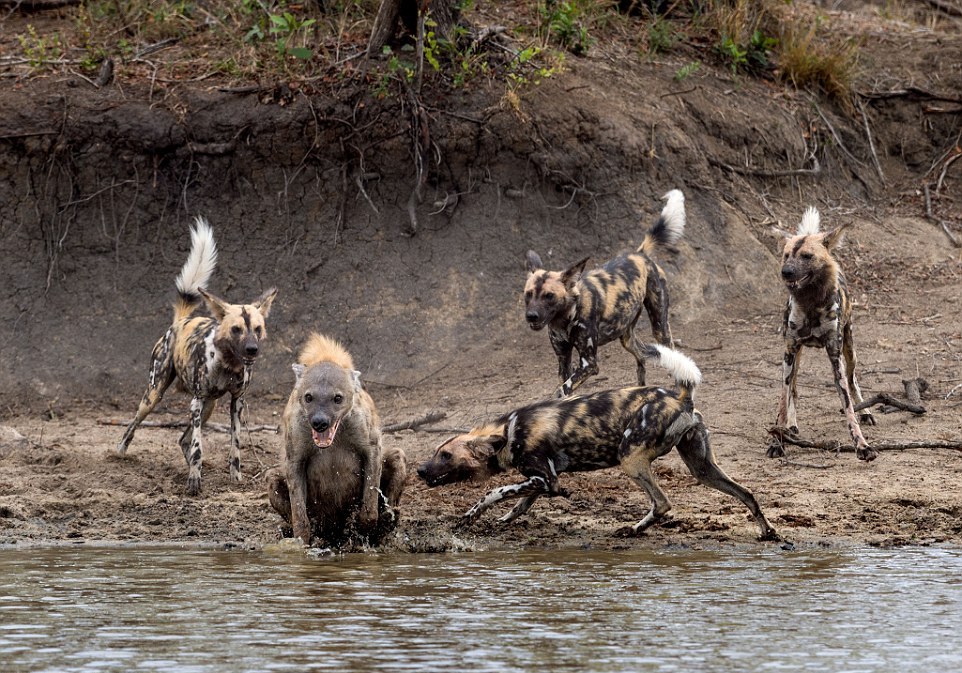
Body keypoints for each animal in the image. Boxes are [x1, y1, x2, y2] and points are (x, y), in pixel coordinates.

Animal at [115, 219, 278, 494]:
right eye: (236, 329)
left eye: (257, 329)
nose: (252, 350)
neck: (228, 364)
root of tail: (180, 322)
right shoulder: (197, 402)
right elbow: (199, 446)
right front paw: (194, 482)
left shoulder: (236, 403)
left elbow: (234, 445)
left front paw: (235, 478)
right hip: (155, 396)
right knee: (133, 426)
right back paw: (118, 455)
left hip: (209, 404)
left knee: (183, 440)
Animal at [264, 332, 406, 544]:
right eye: (308, 397)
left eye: (337, 398)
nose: (320, 422)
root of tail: (335, 530)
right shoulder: (294, 454)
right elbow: (298, 511)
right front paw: (301, 541)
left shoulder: (371, 445)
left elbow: (370, 497)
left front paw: (366, 531)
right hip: (275, 478)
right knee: (274, 479)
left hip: (396, 456)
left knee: (397, 457)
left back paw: (388, 520)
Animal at [416, 344, 776, 540]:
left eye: (445, 455)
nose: (419, 470)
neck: (509, 432)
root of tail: (680, 396)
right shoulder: (544, 481)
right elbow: (520, 504)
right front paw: (504, 520)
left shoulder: (543, 479)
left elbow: (493, 493)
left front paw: (471, 516)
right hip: (702, 468)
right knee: (747, 494)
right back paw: (769, 532)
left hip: (630, 458)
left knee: (662, 503)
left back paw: (632, 530)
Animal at [520, 189, 688, 396]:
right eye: (528, 294)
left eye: (549, 296)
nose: (531, 316)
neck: (566, 316)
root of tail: (640, 254)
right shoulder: (563, 359)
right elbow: (564, 389)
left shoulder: (589, 364)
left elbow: (561, 391)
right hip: (626, 337)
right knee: (642, 356)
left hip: (660, 327)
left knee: (671, 352)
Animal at [768, 207, 872, 460]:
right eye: (786, 255)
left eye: (807, 256)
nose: (786, 272)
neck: (811, 304)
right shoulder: (789, 352)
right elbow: (783, 401)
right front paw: (778, 441)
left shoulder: (835, 357)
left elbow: (848, 407)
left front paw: (861, 445)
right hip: (794, 358)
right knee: (793, 389)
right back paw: (791, 426)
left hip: (850, 352)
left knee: (853, 381)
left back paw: (866, 411)